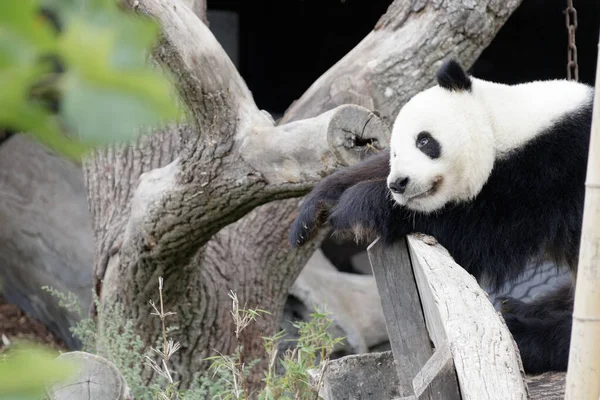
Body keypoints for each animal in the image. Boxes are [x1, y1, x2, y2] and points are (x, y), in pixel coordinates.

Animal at [290, 60, 596, 376]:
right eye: (396, 153)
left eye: (424, 140)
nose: (398, 183)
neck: (504, 123)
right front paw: (317, 207)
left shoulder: (548, 173)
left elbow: (477, 230)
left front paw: (357, 205)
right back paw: (520, 306)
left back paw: (525, 334)